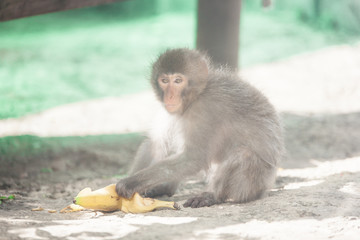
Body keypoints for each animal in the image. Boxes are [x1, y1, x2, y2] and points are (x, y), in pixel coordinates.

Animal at [116, 47, 284, 207]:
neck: (196, 95)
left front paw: (131, 183)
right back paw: (166, 188)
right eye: (164, 80)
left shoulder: (204, 110)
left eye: (178, 80)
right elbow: (155, 144)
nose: (169, 96)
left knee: (243, 154)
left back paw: (213, 196)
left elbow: (194, 158)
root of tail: (267, 187)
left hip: (255, 183)